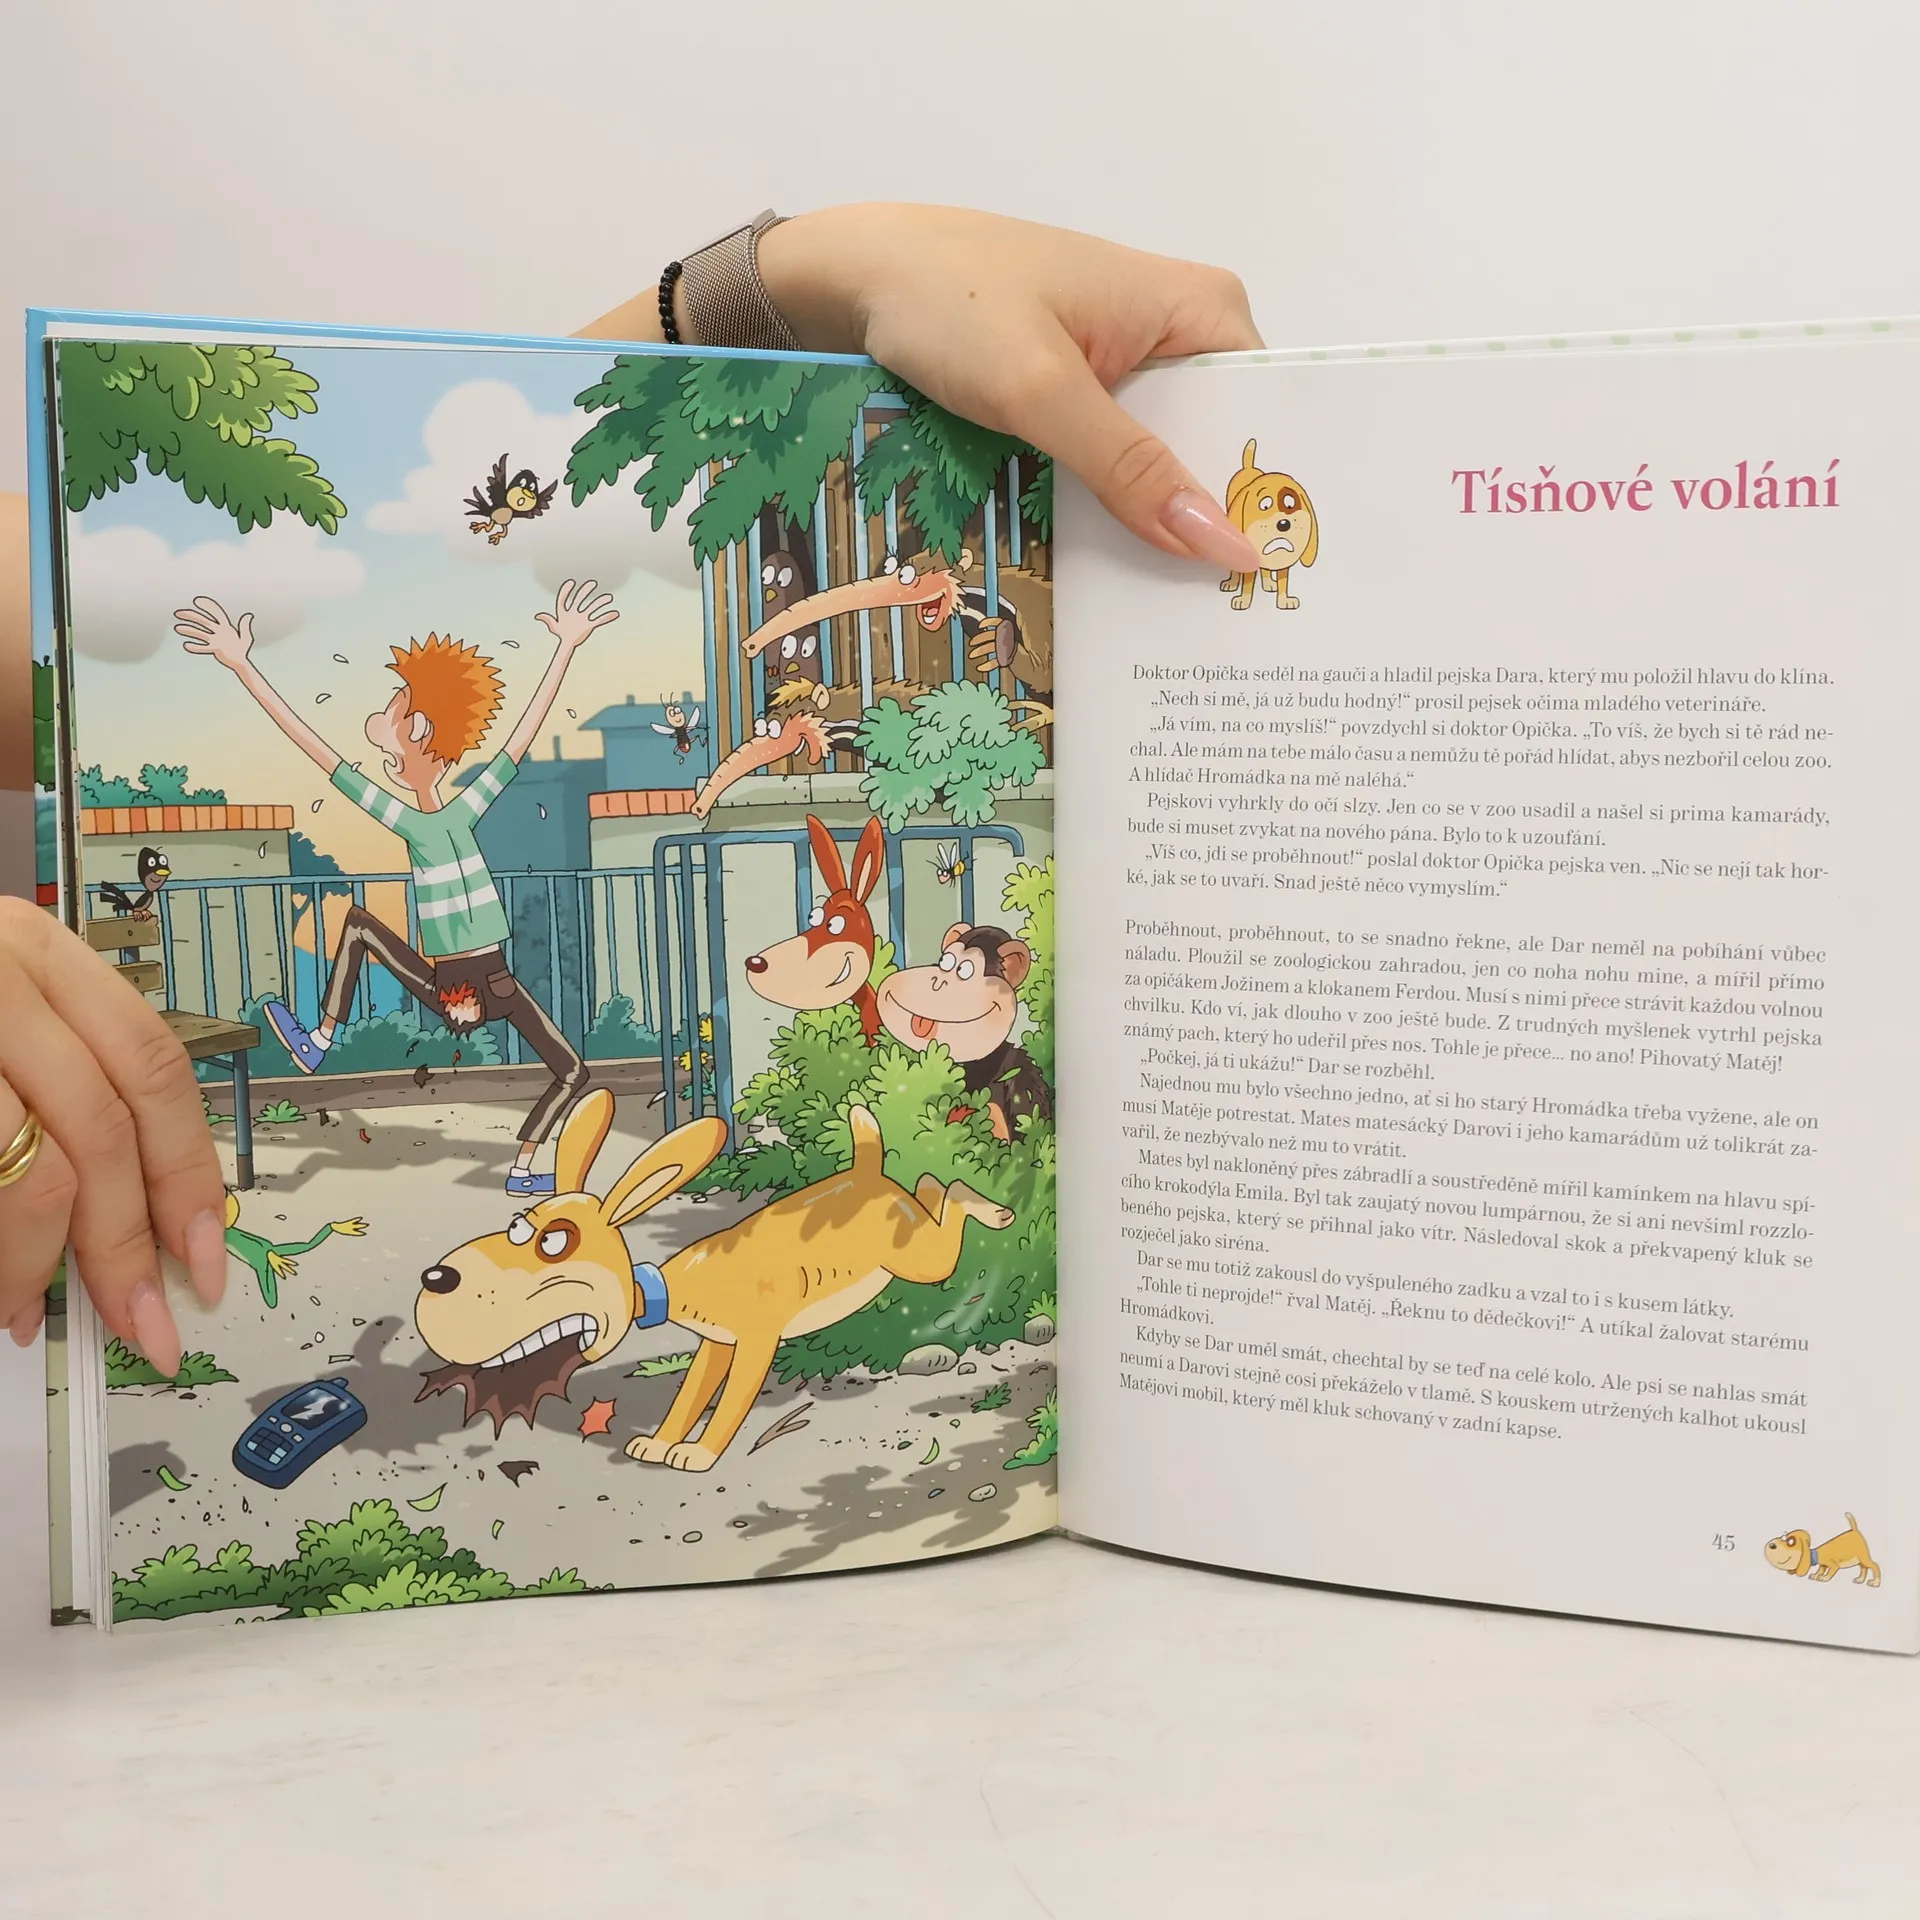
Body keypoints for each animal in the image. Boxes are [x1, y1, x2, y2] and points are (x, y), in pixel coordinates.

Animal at [415, 1088, 1015, 1471]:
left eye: (555, 1242)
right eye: (518, 1224)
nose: (438, 1279)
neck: (669, 1287)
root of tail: (865, 1167)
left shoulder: (755, 1339)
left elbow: (729, 1403)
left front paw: (696, 1456)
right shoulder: (715, 1342)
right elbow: (690, 1395)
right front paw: (657, 1447)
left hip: (917, 1258)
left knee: (948, 1195)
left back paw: (999, 1211)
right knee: (932, 1183)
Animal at [1221, 438, 1318, 610]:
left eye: (1290, 504)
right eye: (1265, 505)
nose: (1283, 524)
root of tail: (1248, 467)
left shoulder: (1283, 562)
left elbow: (1283, 582)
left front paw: (1284, 601)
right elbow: (1247, 583)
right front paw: (1243, 600)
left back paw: (1268, 583)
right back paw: (1231, 583)